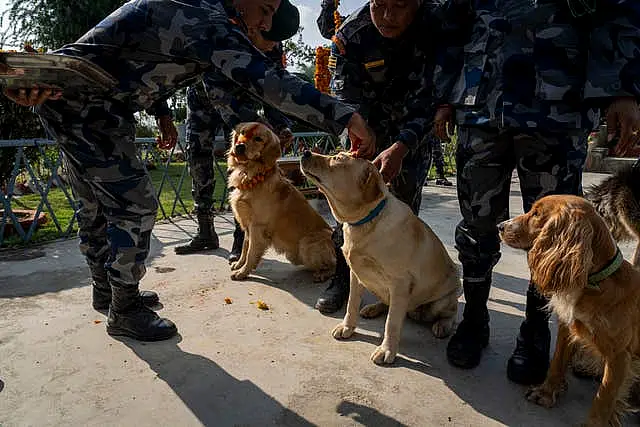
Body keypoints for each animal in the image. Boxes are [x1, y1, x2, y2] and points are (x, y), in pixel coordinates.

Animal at [226, 122, 336, 282]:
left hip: (307, 243)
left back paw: (322, 274)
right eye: (242, 132)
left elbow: (251, 251)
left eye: (258, 139)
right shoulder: (247, 225)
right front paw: (239, 264)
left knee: (337, 266)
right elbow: (245, 247)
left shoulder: (257, 226)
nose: (239, 146)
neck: (250, 174)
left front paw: (243, 272)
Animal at [500, 196, 640, 427]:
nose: (499, 226)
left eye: (536, 214)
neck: (595, 284)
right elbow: (557, 362)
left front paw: (594, 424)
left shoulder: (619, 356)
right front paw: (546, 393)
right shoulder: (568, 328)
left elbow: (604, 397)